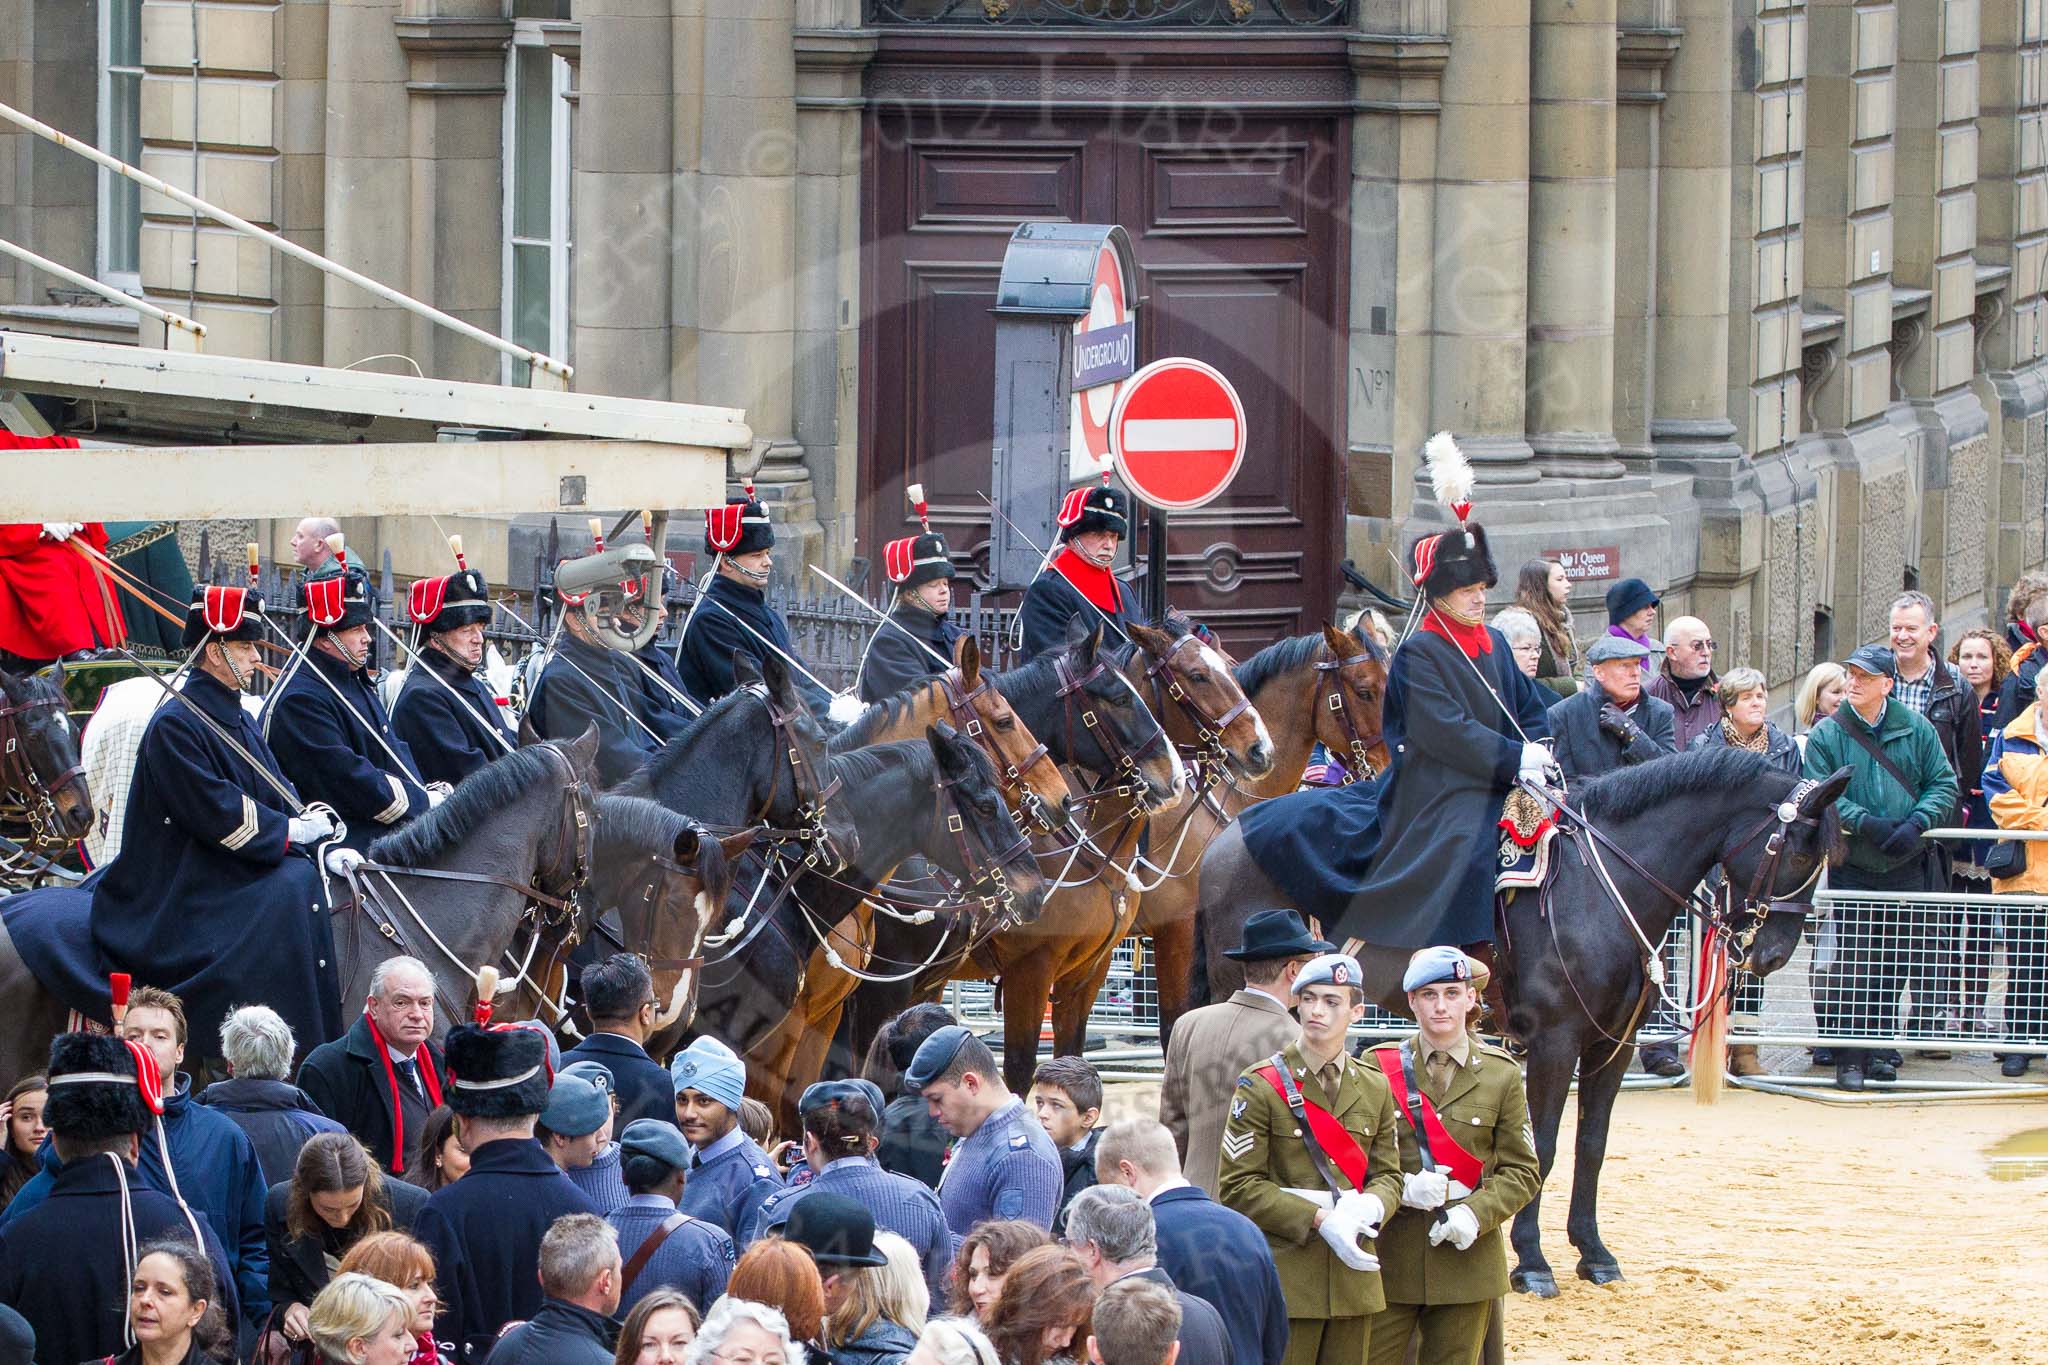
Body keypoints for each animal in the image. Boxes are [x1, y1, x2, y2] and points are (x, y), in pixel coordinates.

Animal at [1196, 749, 1851, 1301]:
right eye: (1797, 848)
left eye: (1822, 857)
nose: (1771, 955)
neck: (1599, 889)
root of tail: (1226, 837)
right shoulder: (1555, 1042)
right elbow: (1543, 1145)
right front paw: (1530, 1260)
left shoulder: (1612, 1046)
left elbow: (1591, 1144)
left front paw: (1592, 1252)